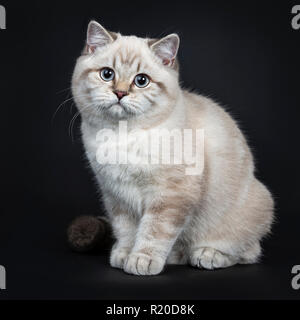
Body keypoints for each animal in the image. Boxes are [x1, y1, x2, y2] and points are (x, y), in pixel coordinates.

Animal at [72, 20, 274, 276]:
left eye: (141, 80)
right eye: (107, 74)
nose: (120, 93)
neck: (122, 135)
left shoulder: (170, 196)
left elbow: (154, 232)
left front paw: (142, 260)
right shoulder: (116, 196)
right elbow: (126, 230)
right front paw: (124, 255)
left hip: (254, 206)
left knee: (247, 252)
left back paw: (207, 255)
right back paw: (175, 256)